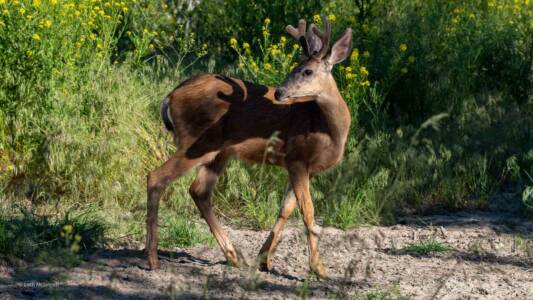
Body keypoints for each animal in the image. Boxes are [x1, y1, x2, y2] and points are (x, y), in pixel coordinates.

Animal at [147, 17, 354, 278]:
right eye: (294, 66)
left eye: (307, 70)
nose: (280, 92)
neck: (326, 128)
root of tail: (170, 97)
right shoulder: (297, 157)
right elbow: (308, 211)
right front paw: (319, 269)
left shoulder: (305, 167)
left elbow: (286, 209)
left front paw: (263, 261)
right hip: (196, 141)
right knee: (157, 177)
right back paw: (153, 259)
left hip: (219, 152)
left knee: (199, 190)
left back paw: (235, 257)